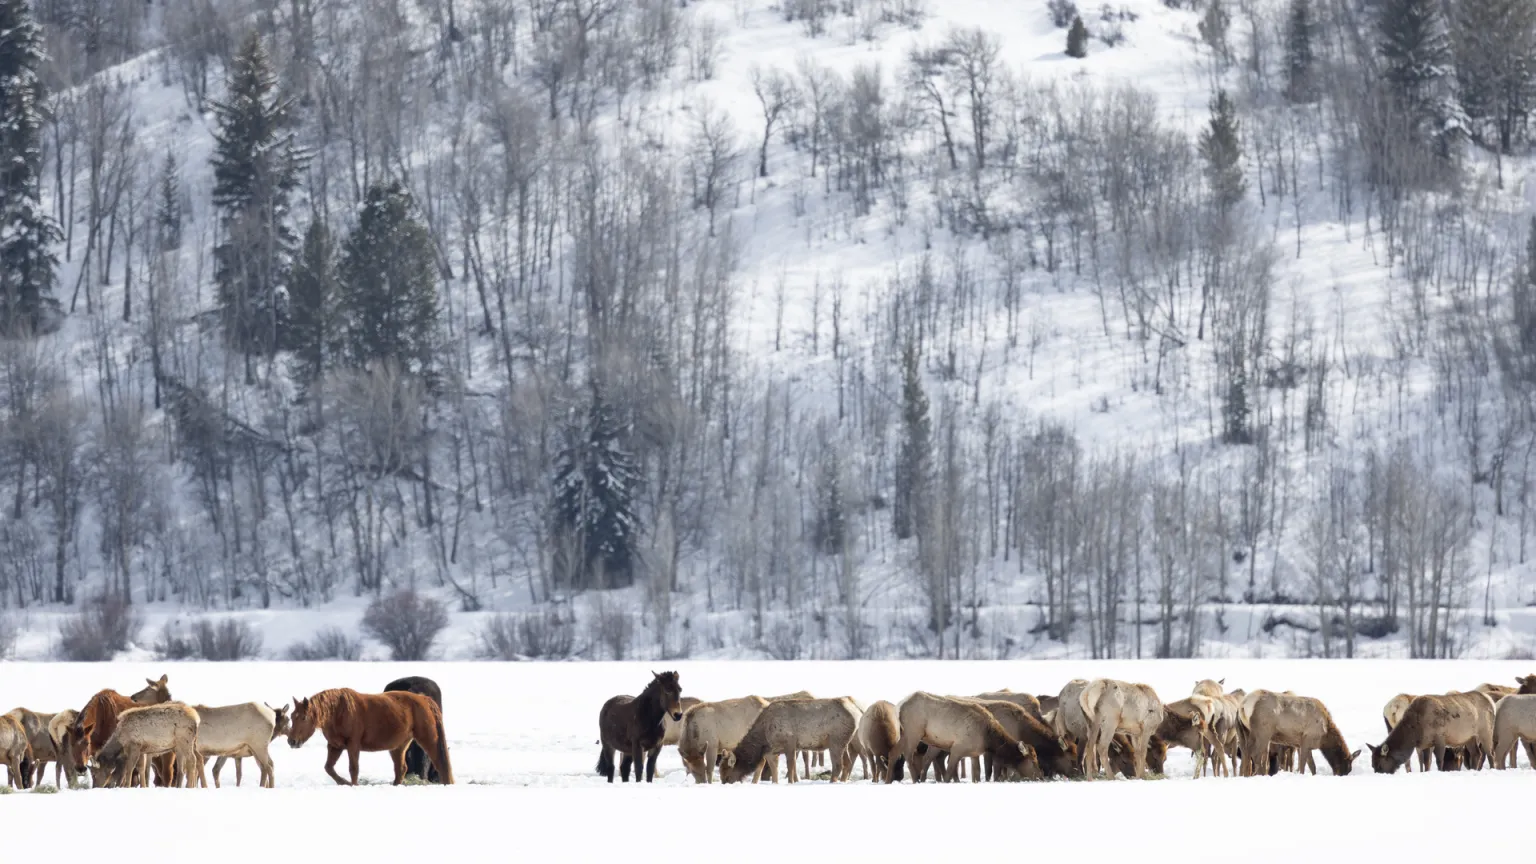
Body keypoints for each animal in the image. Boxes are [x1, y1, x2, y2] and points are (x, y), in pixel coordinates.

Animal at [287, 689, 454, 786]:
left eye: (303, 717)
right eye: (292, 716)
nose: (292, 741)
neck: (338, 712)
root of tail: (424, 699)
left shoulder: (353, 745)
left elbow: (353, 769)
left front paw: (353, 785)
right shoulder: (335, 746)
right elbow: (329, 768)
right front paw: (343, 782)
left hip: (428, 738)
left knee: (440, 764)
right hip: (399, 746)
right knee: (401, 768)